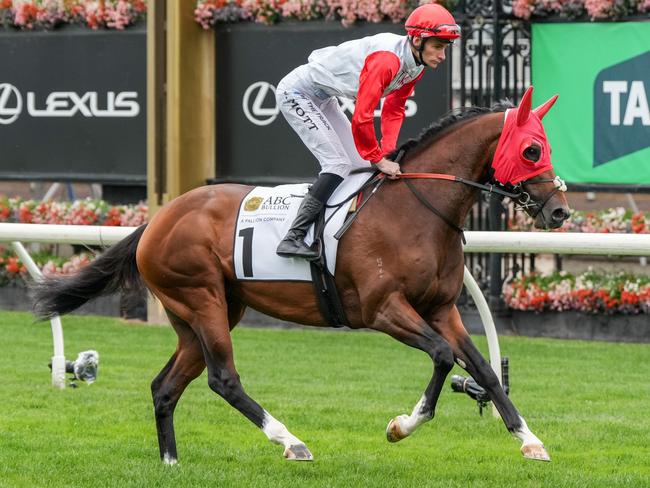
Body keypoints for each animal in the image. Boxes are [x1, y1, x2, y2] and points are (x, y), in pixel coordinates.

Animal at [33, 85, 568, 466]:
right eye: (531, 151)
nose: (560, 210)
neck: (417, 210)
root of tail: (158, 218)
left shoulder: (440, 308)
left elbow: (483, 370)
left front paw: (530, 440)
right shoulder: (382, 309)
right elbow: (441, 357)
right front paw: (401, 425)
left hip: (205, 312)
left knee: (165, 386)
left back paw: (171, 462)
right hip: (202, 299)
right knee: (223, 379)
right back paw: (290, 441)